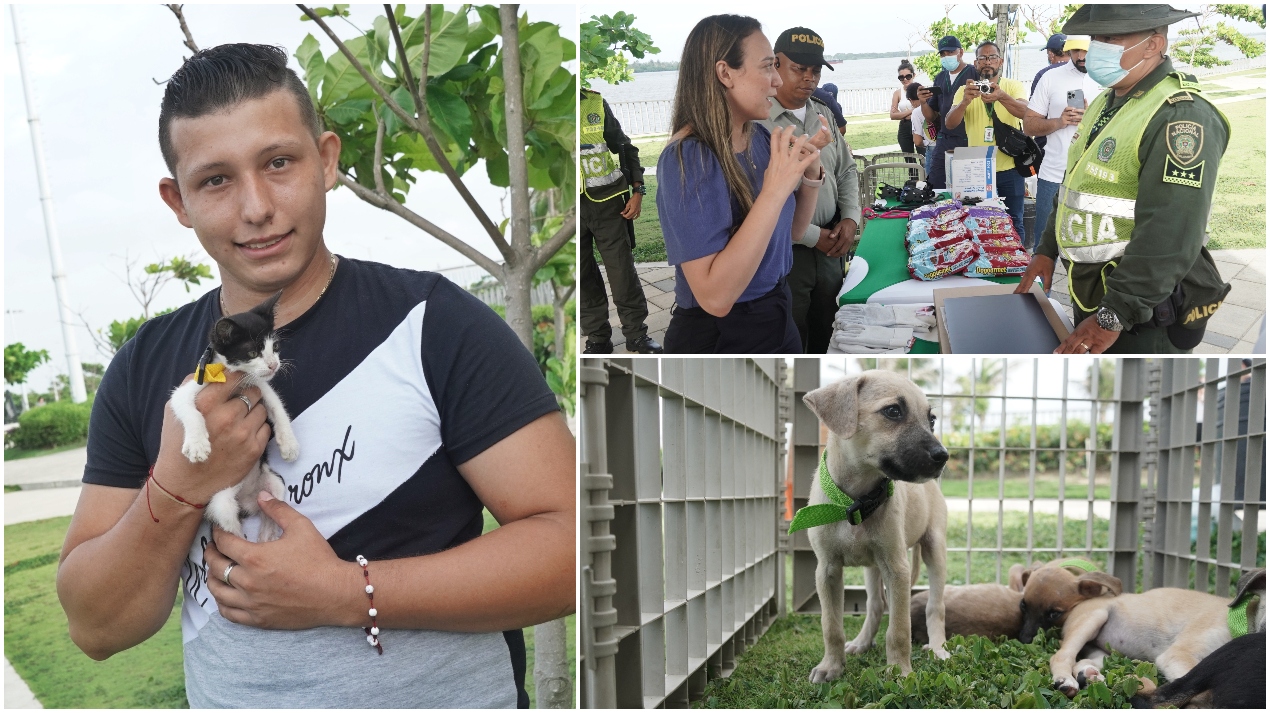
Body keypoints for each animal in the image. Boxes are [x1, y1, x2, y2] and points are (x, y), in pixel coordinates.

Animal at [170, 289, 298, 538]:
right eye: (252, 352)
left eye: (275, 347)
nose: (273, 365)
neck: (234, 375)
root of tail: (247, 502)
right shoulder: (190, 387)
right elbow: (188, 409)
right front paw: (197, 445)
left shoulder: (259, 385)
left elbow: (278, 407)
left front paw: (289, 444)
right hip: (222, 504)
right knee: (231, 530)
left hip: (273, 483)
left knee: (269, 512)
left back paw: (266, 538)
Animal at [797, 368, 949, 681]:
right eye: (893, 411)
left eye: (931, 419)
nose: (943, 456)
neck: (855, 500)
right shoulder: (827, 570)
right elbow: (831, 626)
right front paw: (831, 666)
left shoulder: (896, 568)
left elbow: (899, 629)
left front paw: (900, 671)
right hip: (872, 567)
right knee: (875, 605)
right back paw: (863, 642)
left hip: (934, 549)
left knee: (935, 606)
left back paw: (938, 648)